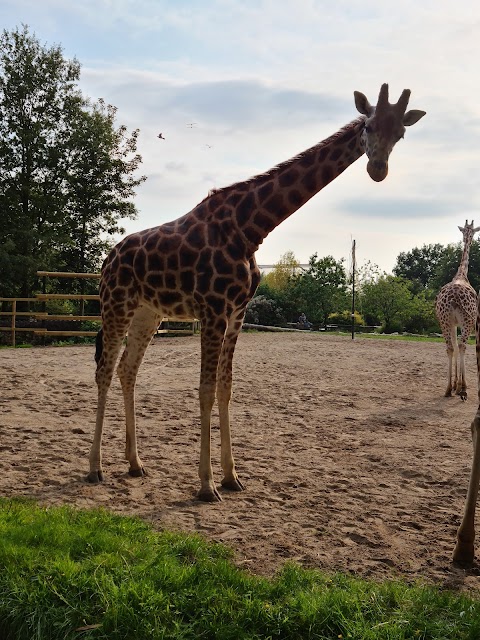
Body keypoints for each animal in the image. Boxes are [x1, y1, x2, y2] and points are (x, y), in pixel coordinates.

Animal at [86, 82, 424, 502]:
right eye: (368, 126)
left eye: (401, 134)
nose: (378, 170)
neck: (250, 228)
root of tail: (107, 259)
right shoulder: (213, 309)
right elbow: (205, 389)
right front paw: (206, 485)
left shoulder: (237, 313)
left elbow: (226, 389)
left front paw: (231, 477)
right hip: (115, 304)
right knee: (104, 371)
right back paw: (95, 469)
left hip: (149, 312)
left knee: (128, 370)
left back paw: (135, 464)